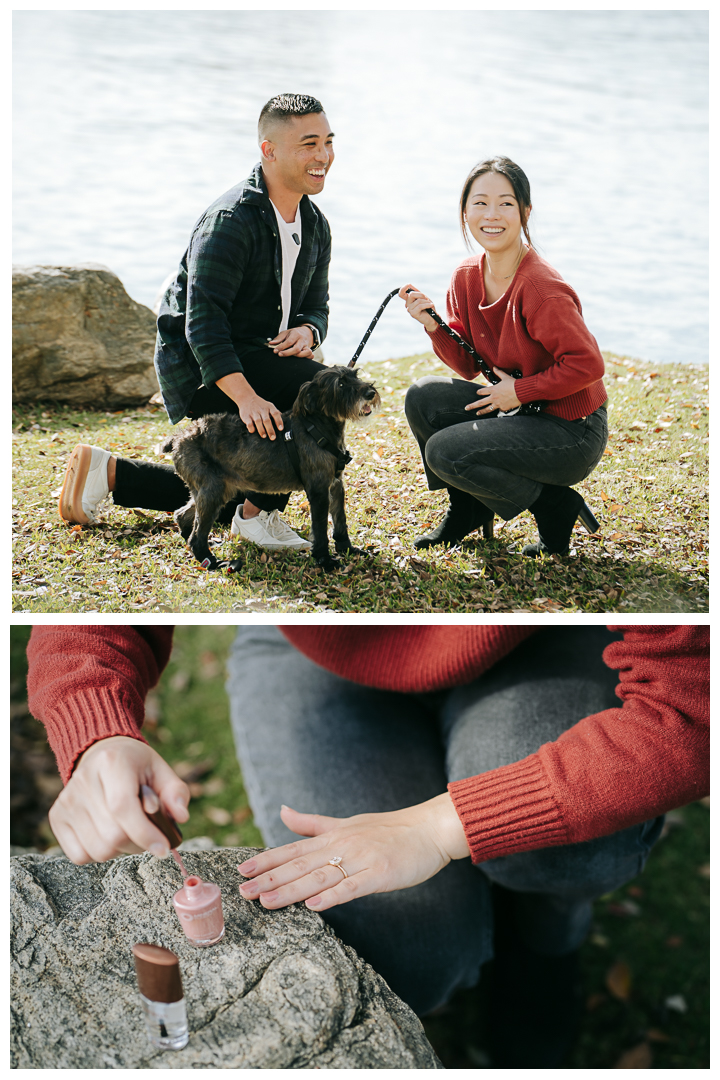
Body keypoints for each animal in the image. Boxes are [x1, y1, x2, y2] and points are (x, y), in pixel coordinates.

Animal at [160, 365, 379, 570]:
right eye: (340, 384)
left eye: (355, 375)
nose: (370, 392)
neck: (317, 426)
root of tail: (179, 437)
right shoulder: (319, 491)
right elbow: (320, 528)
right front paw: (324, 561)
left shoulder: (335, 486)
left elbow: (340, 520)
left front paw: (348, 549)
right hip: (213, 491)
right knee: (197, 534)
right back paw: (211, 561)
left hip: (216, 491)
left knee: (182, 515)